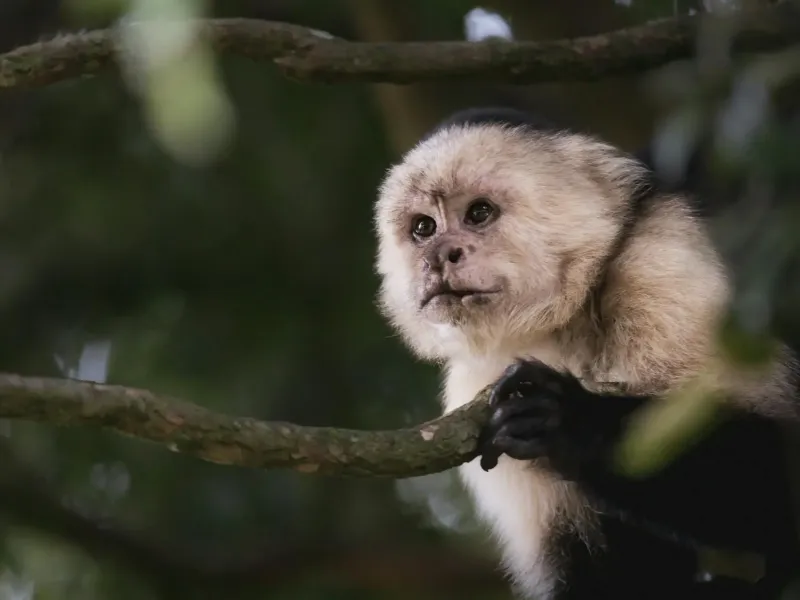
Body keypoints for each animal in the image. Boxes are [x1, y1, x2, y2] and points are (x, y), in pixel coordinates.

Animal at [372, 106, 800, 600]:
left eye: (479, 213)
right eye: (423, 228)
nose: (440, 255)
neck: (567, 320)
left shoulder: (665, 267)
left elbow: (779, 470)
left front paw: (564, 417)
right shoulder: (472, 385)